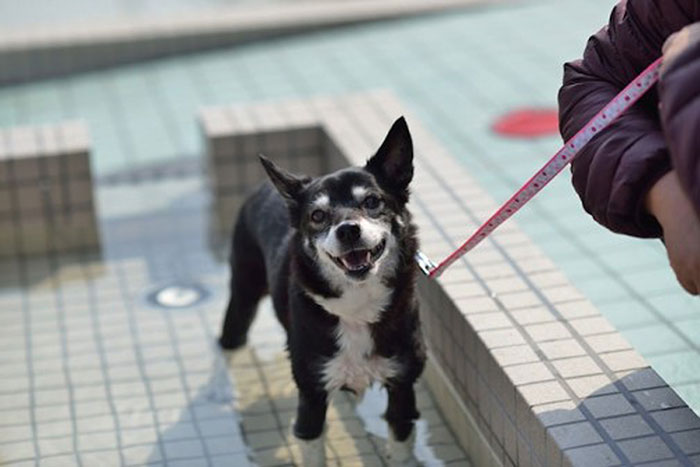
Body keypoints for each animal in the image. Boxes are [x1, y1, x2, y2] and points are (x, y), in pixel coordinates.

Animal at [221, 118, 424, 467]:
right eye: (317, 216)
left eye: (372, 202)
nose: (348, 230)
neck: (356, 302)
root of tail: (265, 187)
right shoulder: (311, 392)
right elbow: (311, 440)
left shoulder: (402, 383)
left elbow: (400, 442)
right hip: (243, 291)